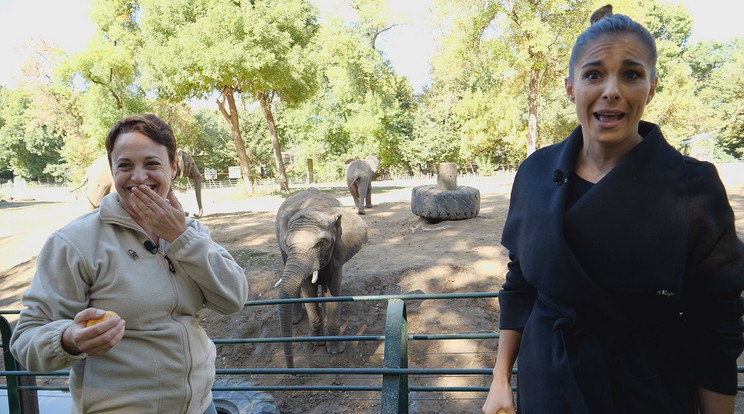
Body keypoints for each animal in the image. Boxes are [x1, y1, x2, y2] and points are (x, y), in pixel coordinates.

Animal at [274, 186, 370, 368]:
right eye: (288, 243)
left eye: (323, 243)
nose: (292, 370)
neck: (317, 209)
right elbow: (308, 289)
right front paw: (317, 343)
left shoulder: (339, 249)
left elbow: (332, 290)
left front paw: (335, 351)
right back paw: (295, 320)